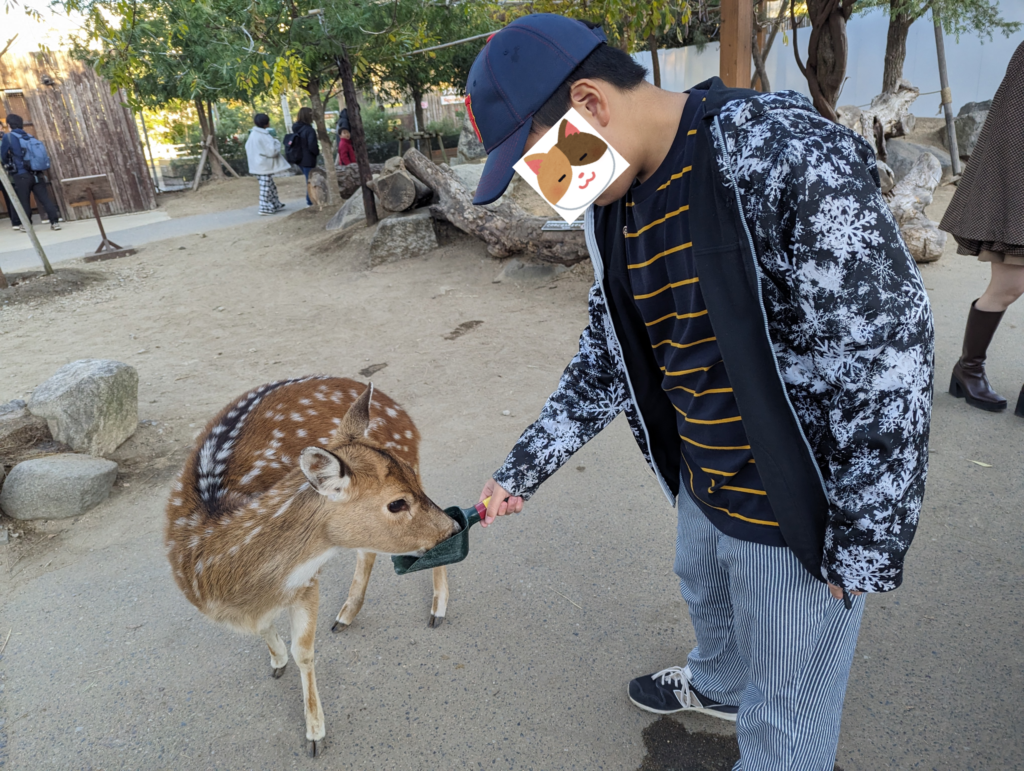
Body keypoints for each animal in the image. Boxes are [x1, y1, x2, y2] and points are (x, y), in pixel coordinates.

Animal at [164, 376, 459, 757]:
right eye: (396, 503)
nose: (453, 530)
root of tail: (397, 408)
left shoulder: (306, 581)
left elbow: (304, 651)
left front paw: (315, 735)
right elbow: (268, 631)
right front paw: (276, 663)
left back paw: (437, 608)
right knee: (370, 550)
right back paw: (346, 615)